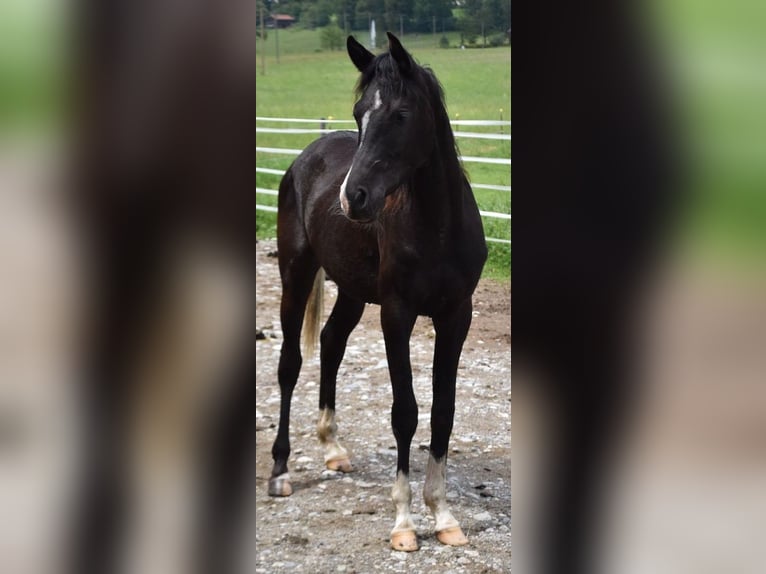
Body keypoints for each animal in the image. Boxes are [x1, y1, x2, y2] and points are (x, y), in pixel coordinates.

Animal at [268, 32, 486, 552]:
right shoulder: (396, 314)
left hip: (350, 290)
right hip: (296, 274)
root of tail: (306, 156)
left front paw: (443, 515)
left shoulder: (456, 316)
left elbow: (443, 412)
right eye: (359, 112)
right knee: (290, 364)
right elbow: (405, 412)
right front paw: (404, 522)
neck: (437, 227)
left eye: (401, 114)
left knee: (331, 343)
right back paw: (280, 471)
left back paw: (333, 447)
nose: (354, 198)